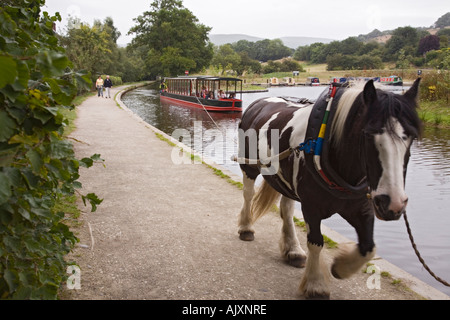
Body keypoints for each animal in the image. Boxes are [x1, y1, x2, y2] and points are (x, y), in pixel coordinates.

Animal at [236, 79, 422, 298]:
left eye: (412, 136)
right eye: (368, 134)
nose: (392, 203)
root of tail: (259, 102)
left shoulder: (362, 207)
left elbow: (368, 248)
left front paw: (341, 267)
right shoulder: (312, 207)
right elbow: (316, 242)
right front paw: (316, 284)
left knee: (287, 210)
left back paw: (293, 250)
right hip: (248, 167)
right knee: (248, 195)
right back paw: (246, 227)